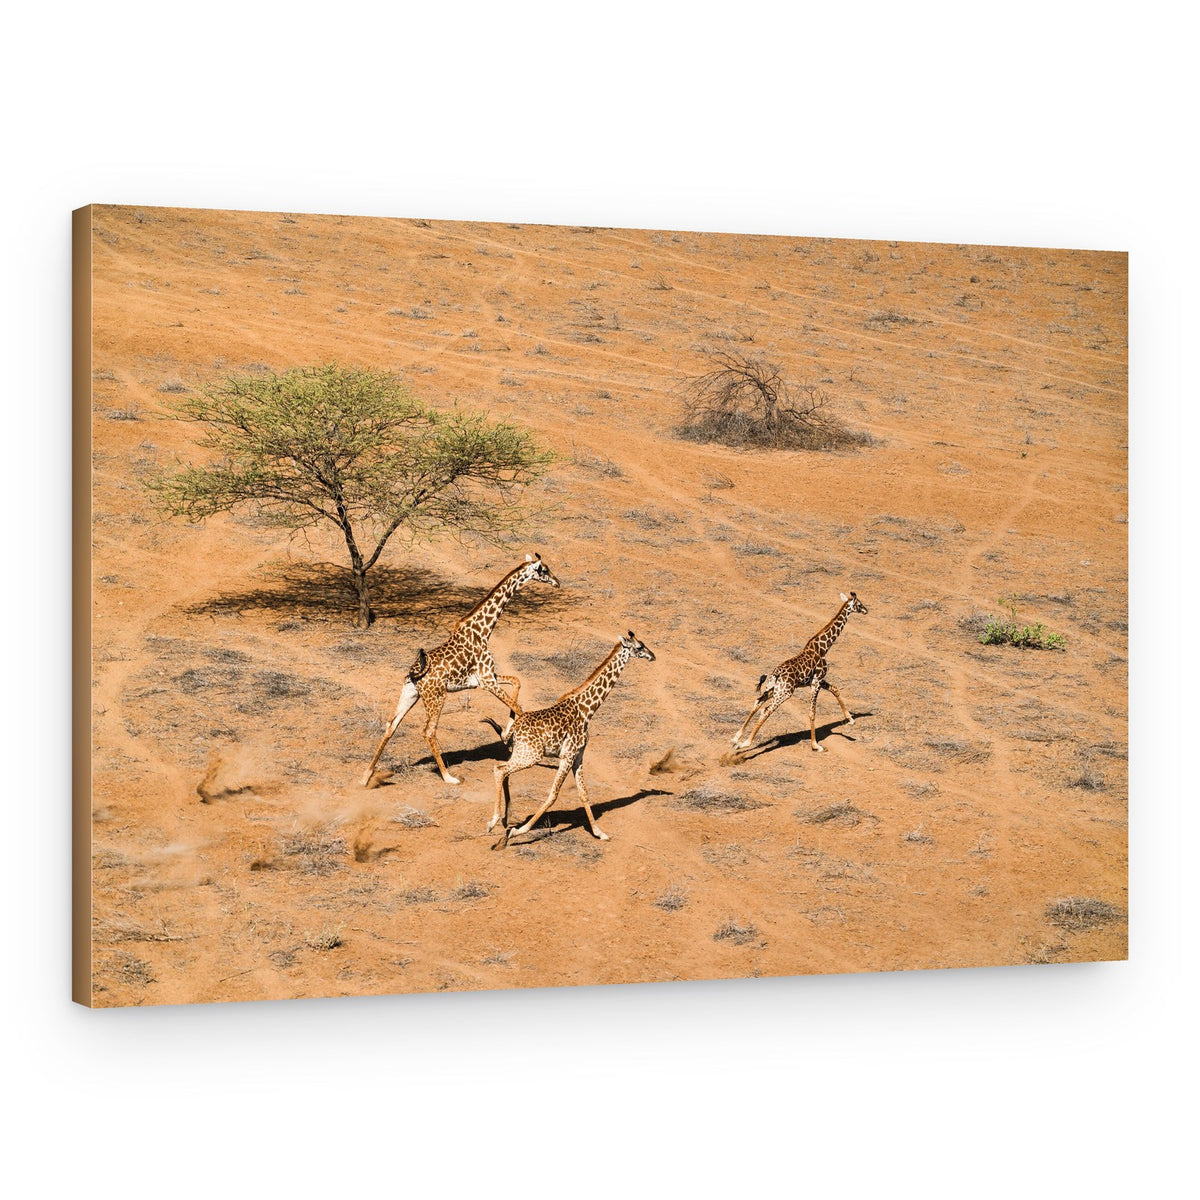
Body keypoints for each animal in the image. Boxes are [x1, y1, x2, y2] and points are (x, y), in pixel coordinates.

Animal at [361, 554, 560, 787]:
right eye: (543, 570)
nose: (557, 582)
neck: (483, 630)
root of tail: (414, 673)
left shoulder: (485, 678)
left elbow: (517, 682)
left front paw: (505, 734)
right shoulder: (487, 680)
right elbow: (518, 706)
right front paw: (509, 737)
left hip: (410, 693)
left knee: (390, 726)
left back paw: (366, 777)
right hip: (437, 696)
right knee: (428, 731)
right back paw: (449, 777)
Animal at [489, 631, 656, 845]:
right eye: (639, 647)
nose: (653, 656)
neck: (587, 710)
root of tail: (515, 730)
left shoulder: (578, 755)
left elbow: (584, 793)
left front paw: (599, 832)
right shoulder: (567, 755)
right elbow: (553, 794)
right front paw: (519, 831)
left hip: (522, 752)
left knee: (504, 771)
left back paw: (505, 818)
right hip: (531, 756)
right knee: (499, 769)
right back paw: (494, 821)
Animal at [731, 592, 868, 754]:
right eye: (859, 604)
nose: (866, 610)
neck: (823, 647)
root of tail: (776, 674)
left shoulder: (816, 680)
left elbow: (835, 689)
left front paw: (851, 720)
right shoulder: (816, 682)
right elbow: (812, 712)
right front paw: (816, 745)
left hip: (773, 689)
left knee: (757, 702)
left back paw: (736, 738)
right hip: (785, 693)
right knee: (766, 710)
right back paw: (744, 743)